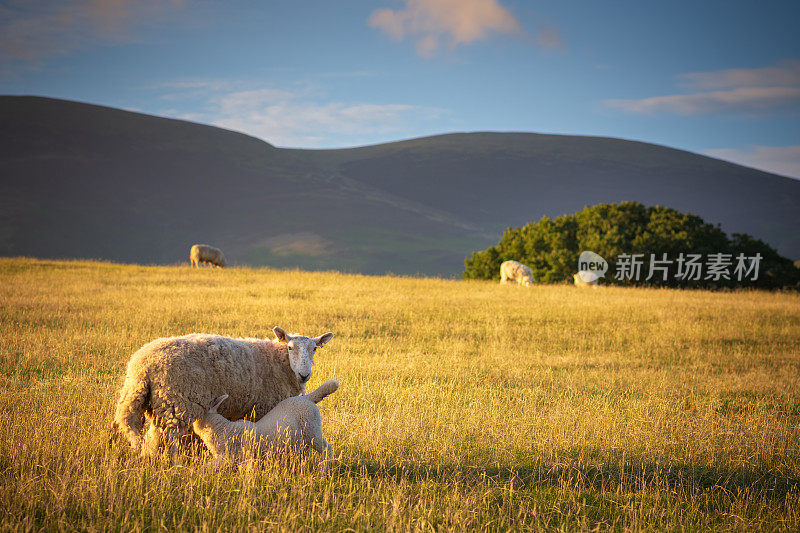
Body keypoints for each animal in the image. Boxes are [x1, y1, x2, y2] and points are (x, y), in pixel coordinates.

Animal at [111, 324, 332, 462]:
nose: (304, 375)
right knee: (171, 439)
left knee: (153, 437)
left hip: (160, 405)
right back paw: (174, 465)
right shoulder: (264, 408)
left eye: (314, 349)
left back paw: (150, 460)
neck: (277, 360)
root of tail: (141, 366)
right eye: (290, 347)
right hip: (177, 403)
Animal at [194, 378, 338, 470]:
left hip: (312, 429)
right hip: (302, 439)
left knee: (327, 448)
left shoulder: (228, 457)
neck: (222, 428)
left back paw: (322, 471)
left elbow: (206, 469)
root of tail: (307, 398)